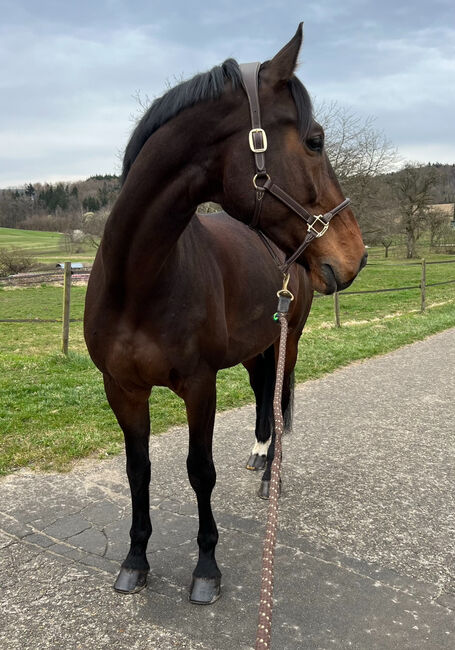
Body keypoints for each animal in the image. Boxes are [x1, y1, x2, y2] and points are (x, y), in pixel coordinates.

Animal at [83, 24, 366, 604]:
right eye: (314, 140)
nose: (355, 255)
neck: (138, 282)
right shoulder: (121, 388)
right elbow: (138, 470)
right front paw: (135, 559)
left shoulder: (200, 384)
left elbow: (200, 471)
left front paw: (206, 568)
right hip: (260, 344)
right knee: (262, 394)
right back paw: (259, 455)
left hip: (289, 342)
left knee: (277, 403)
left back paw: (270, 475)